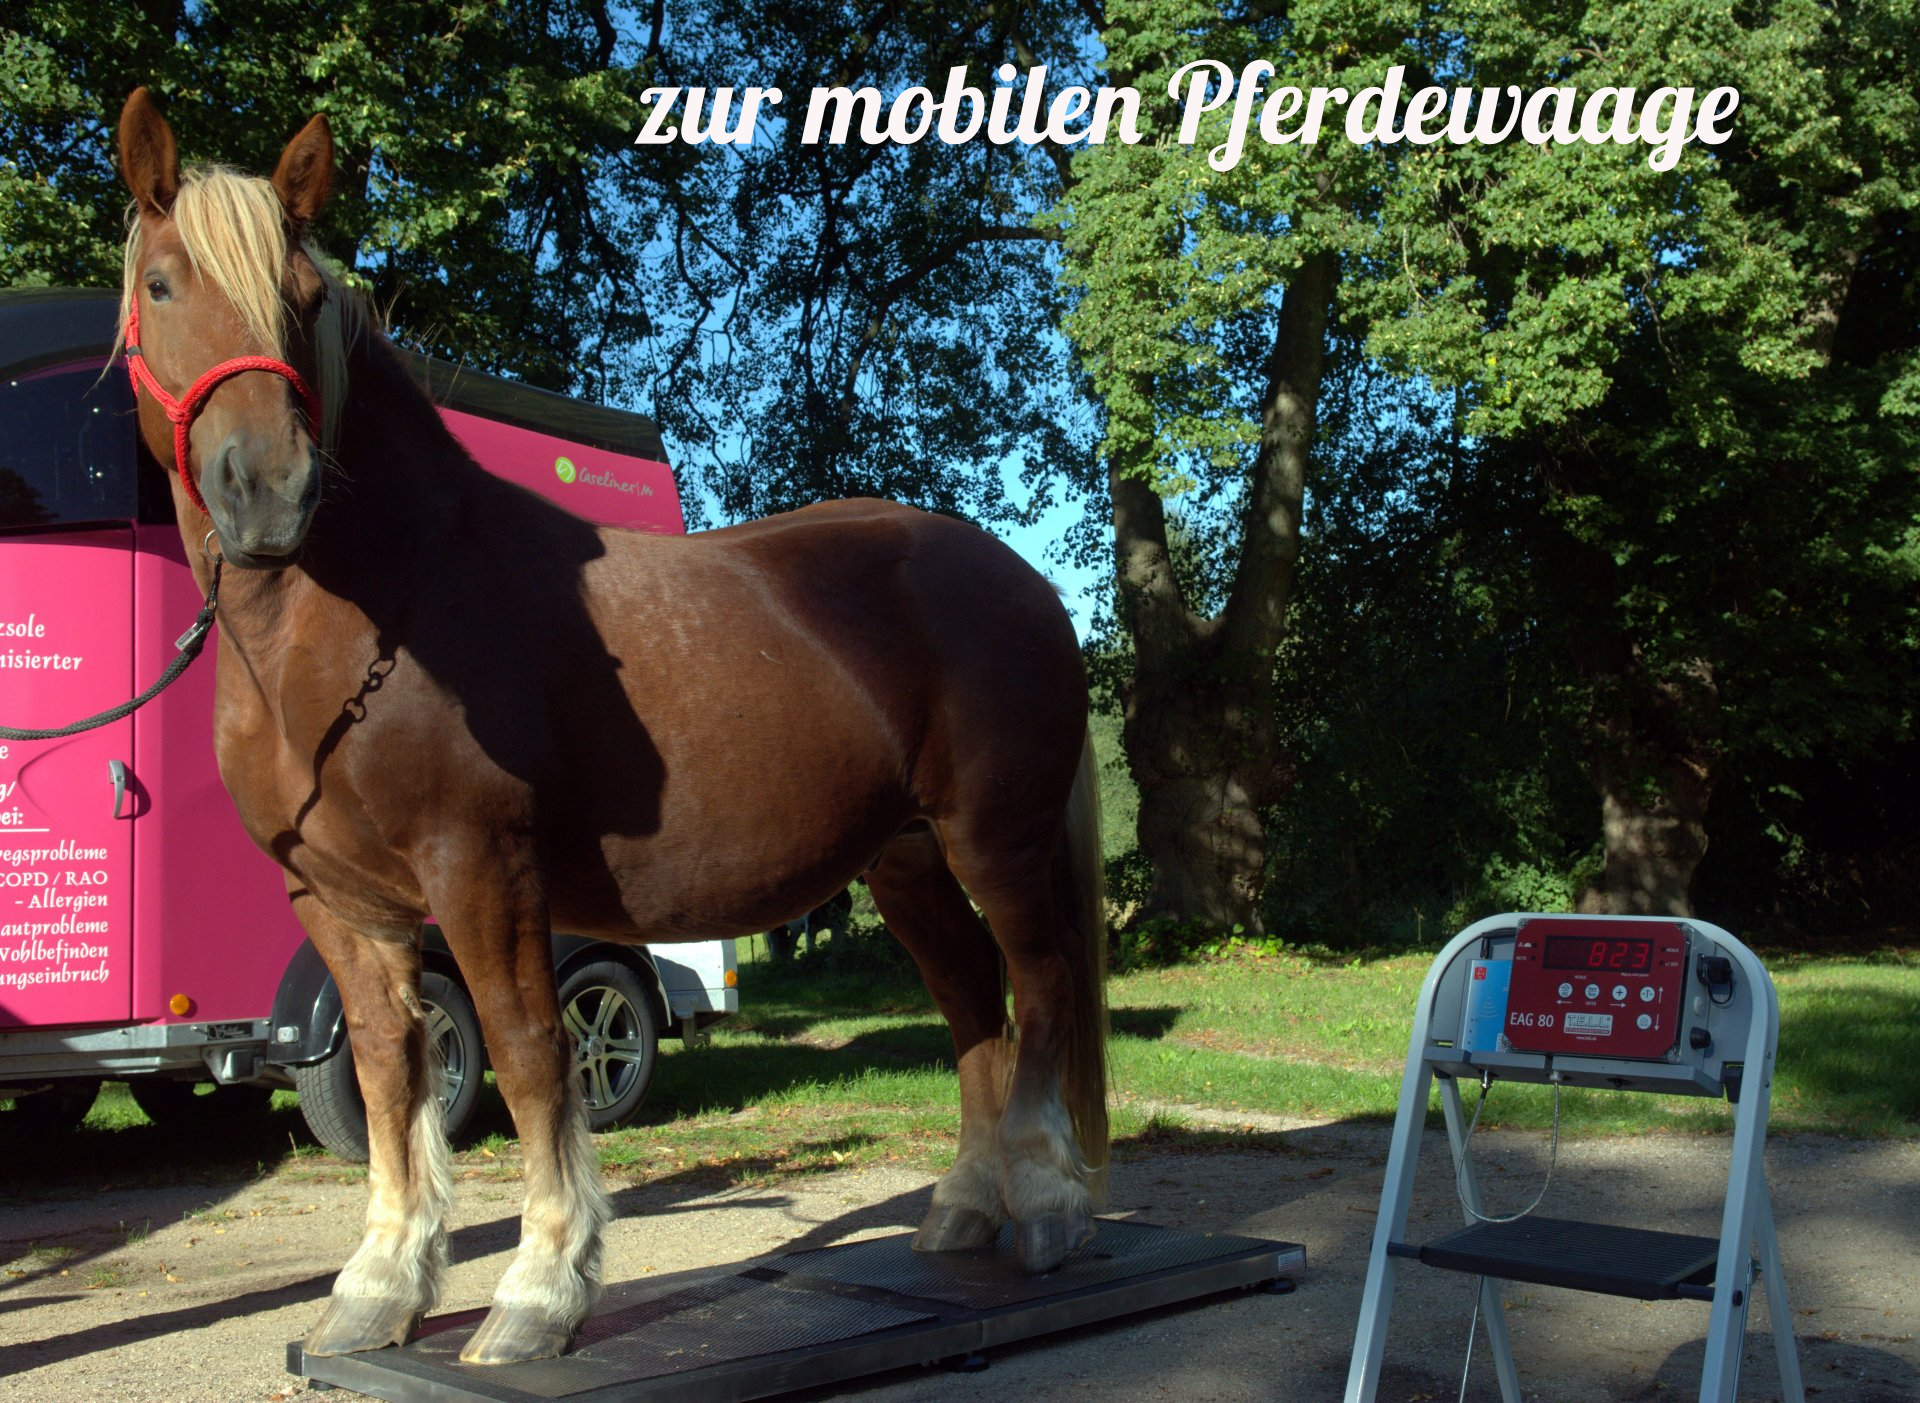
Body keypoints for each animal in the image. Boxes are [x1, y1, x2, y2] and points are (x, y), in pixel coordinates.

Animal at [110, 88, 1109, 1365]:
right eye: (163, 284)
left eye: (304, 297)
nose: (270, 491)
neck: (377, 607)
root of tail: (1020, 577)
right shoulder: (339, 897)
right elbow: (389, 1070)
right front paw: (379, 1287)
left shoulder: (482, 868)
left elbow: (533, 1054)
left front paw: (539, 1291)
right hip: (906, 858)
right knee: (974, 997)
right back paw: (967, 1206)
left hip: (997, 841)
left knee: (1040, 987)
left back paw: (1048, 1207)